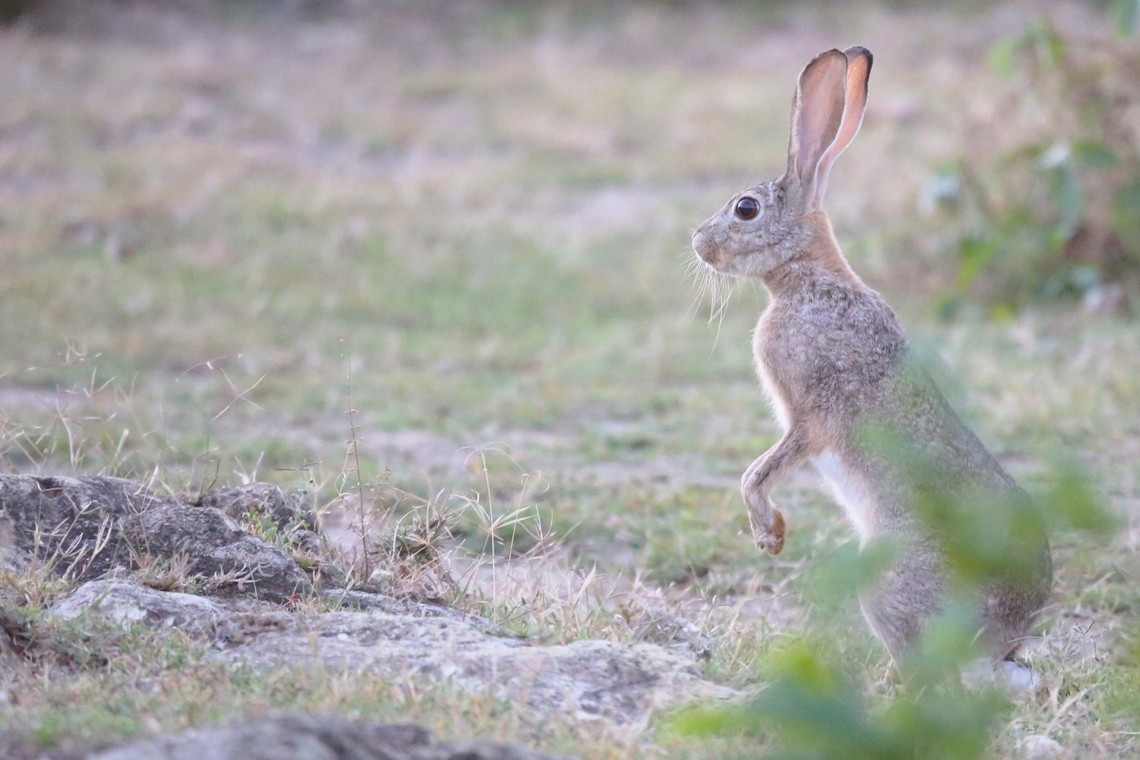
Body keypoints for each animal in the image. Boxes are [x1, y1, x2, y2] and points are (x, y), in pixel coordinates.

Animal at [690, 47, 1051, 667]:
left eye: (746, 208)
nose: (698, 243)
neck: (805, 276)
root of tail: (1006, 629)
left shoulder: (810, 416)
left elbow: (758, 472)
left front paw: (769, 535)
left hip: (885, 583)